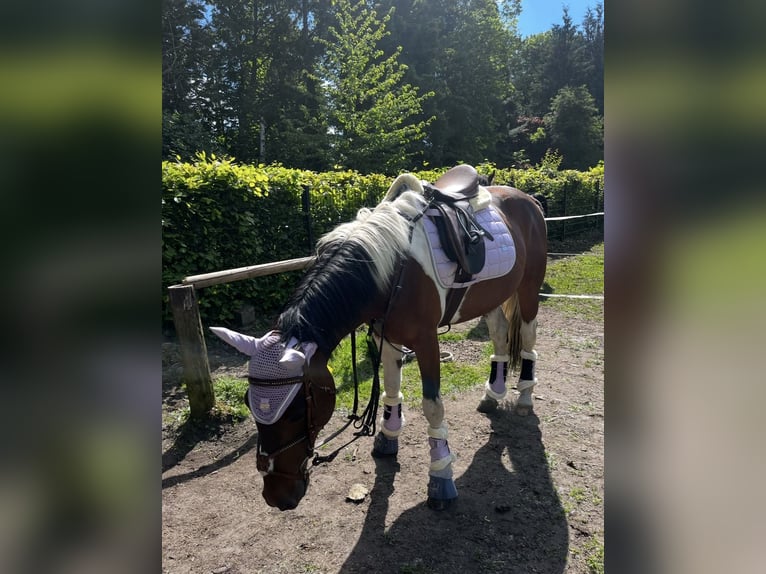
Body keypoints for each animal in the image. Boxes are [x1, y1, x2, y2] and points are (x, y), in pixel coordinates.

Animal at [210, 164, 547, 511]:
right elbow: (391, 388)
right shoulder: (385, 336)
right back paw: (493, 394)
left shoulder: (426, 342)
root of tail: (527, 198)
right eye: (248, 402)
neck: (393, 269)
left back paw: (524, 396)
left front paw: (441, 476)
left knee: (529, 338)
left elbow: (432, 407)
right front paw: (388, 436)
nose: (276, 495)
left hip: (529, 288)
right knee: (500, 334)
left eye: (295, 412)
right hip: (492, 295)